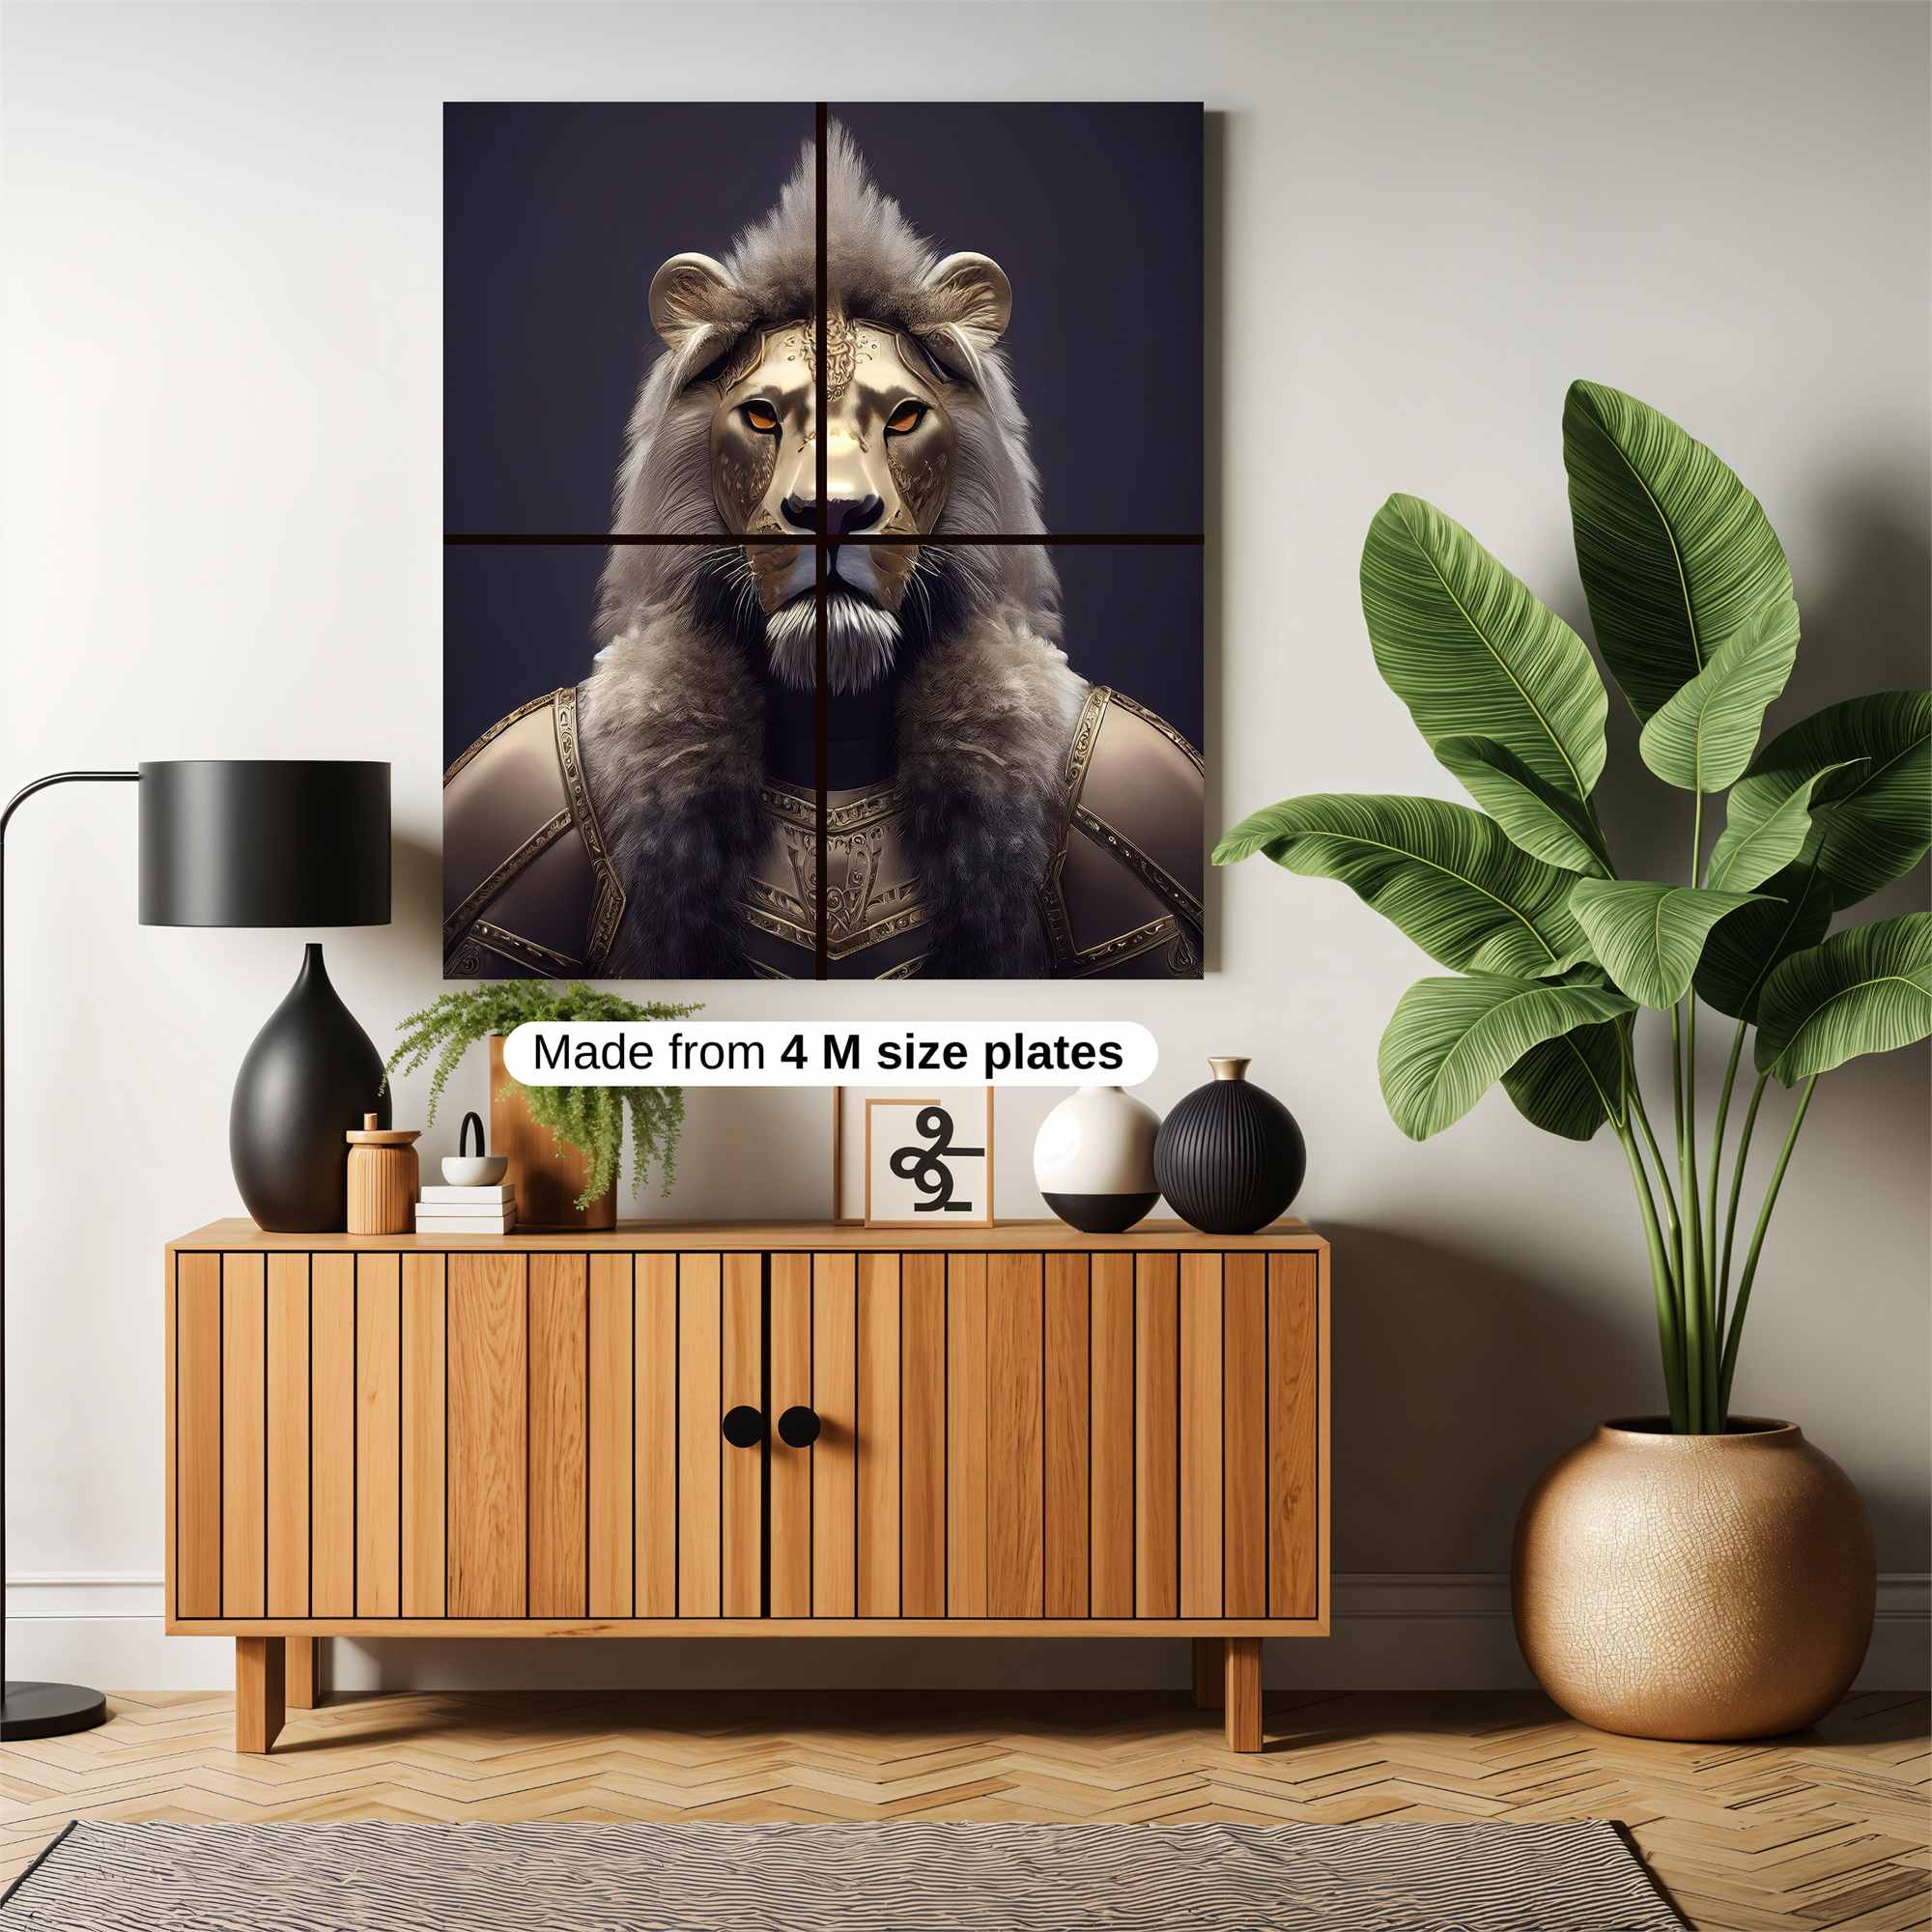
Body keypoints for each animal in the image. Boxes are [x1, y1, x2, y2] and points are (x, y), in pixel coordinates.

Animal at [444, 125, 1202, 980]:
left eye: (903, 417)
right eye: (762, 416)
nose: (832, 513)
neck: (833, 724)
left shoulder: (1135, 785)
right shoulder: (515, 788)